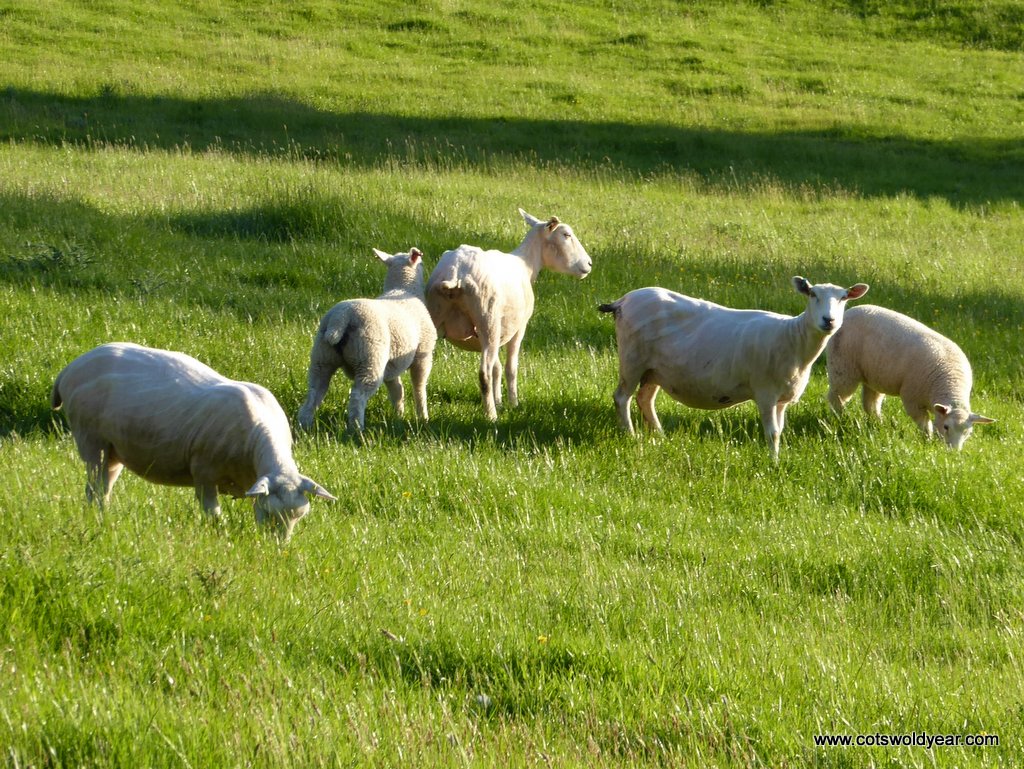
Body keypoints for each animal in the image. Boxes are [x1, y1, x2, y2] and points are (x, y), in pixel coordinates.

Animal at [51, 342, 336, 540]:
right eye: (269, 513)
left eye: (299, 517)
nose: (279, 547)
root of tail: (71, 367)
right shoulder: (204, 472)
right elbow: (212, 514)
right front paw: (219, 535)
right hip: (91, 440)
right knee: (94, 487)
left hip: (113, 451)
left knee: (103, 488)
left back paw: (104, 516)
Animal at [297, 247, 436, 432]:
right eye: (421, 264)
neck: (402, 290)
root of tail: (341, 317)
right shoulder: (423, 355)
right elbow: (419, 389)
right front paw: (423, 417)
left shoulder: (392, 364)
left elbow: (397, 390)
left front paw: (398, 415)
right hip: (369, 357)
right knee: (358, 396)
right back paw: (356, 428)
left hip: (322, 357)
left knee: (314, 393)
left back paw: (304, 425)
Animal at [425, 208, 592, 420]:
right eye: (566, 234)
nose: (589, 264)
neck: (527, 265)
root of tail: (456, 274)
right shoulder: (519, 327)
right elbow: (510, 368)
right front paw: (513, 403)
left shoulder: (497, 333)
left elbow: (497, 367)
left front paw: (499, 399)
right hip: (487, 318)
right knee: (484, 373)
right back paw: (491, 416)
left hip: (441, 315)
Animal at [598, 277, 869, 459]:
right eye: (812, 294)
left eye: (844, 297)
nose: (829, 321)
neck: (793, 338)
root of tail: (623, 301)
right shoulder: (765, 392)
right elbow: (772, 432)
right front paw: (773, 463)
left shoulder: (782, 399)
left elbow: (780, 430)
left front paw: (777, 458)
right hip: (632, 359)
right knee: (622, 397)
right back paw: (631, 435)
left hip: (655, 370)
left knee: (645, 399)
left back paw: (660, 436)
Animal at [825, 304, 994, 449]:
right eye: (946, 427)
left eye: (968, 433)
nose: (953, 452)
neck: (949, 382)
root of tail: (849, 311)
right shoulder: (912, 400)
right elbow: (924, 424)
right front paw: (927, 441)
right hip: (843, 368)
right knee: (837, 397)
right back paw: (838, 419)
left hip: (874, 377)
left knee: (870, 404)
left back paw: (878, 424)